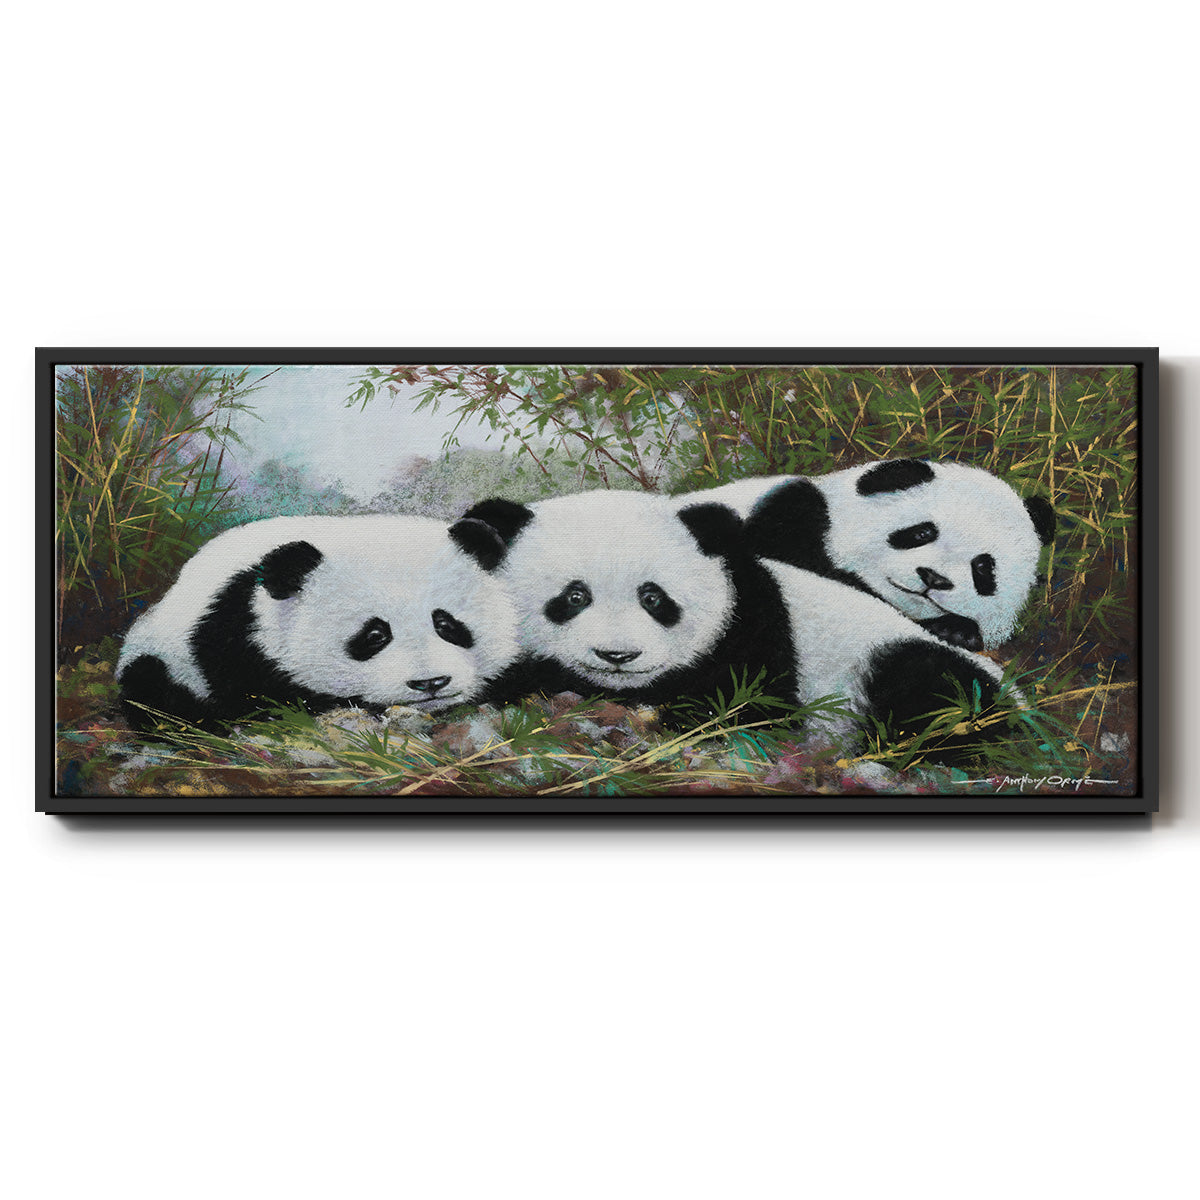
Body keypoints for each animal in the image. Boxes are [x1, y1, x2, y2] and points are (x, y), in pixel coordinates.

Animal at [115, 514, 519, 730]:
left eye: (446, 624)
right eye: (374, 635)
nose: (430, 683)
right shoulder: (232, 636)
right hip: (162, 654)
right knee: (153, 692)